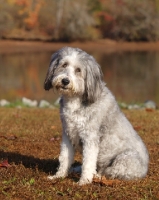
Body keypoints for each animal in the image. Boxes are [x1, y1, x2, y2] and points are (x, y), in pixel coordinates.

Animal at [43, 46, 149, 185]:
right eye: (64, 64)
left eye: (78, 70)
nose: (65, 81)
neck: (76, 99)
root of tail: (145, 171)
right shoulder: (68, 135)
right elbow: (65, 158)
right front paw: (58, 176)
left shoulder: (90, 137)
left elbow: (88, 162)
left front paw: (84, 182)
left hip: (126, 158)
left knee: (111, 172)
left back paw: (97, 176)